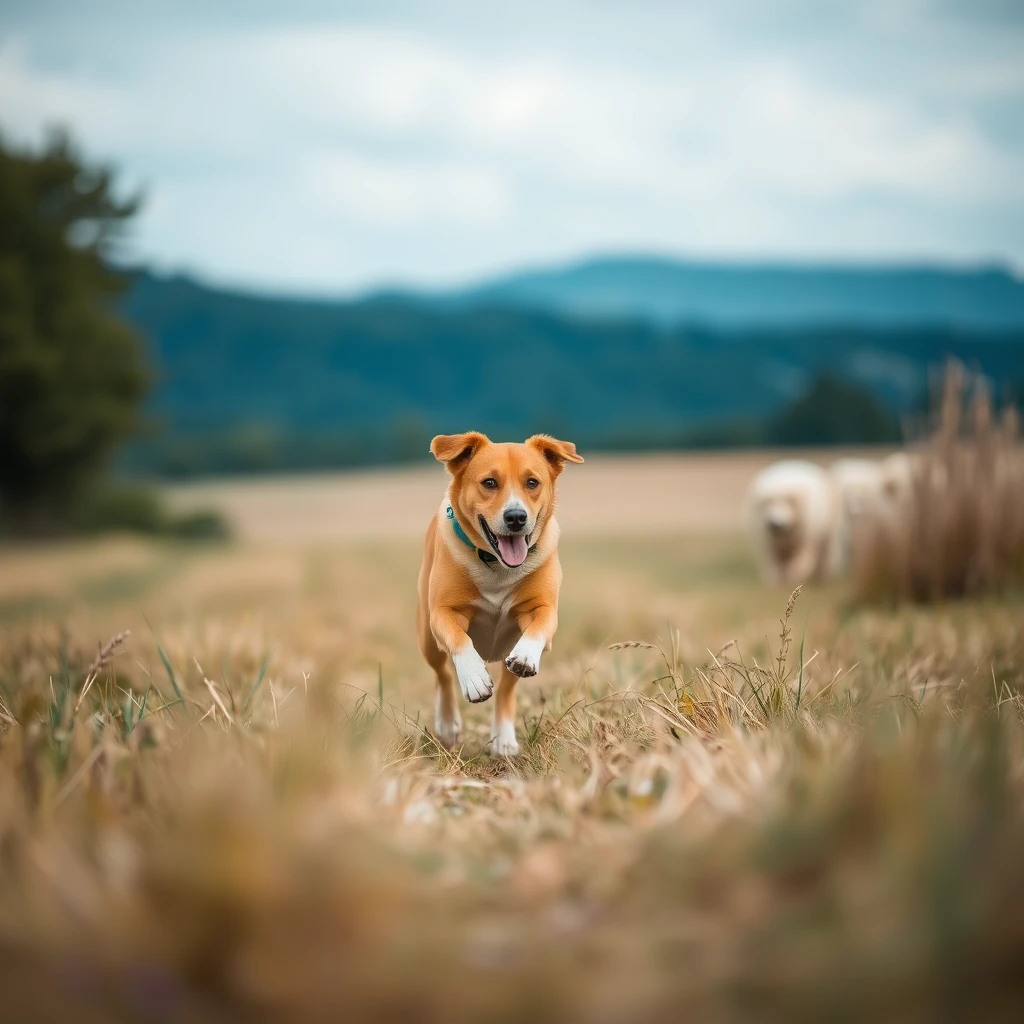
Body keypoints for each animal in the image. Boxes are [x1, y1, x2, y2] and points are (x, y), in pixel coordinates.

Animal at [417, 430, 585, 753]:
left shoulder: (542, 608)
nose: (516, 517)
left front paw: (526, 657)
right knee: (442, 673)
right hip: (427, 638)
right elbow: (457, 638)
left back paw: (504, 739)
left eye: (532, 482)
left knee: (507, 687)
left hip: (508, 645)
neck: (496, 565)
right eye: (489, 483)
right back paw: (448, 724)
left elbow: (541, 624)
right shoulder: (443, 612)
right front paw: (474, 677)